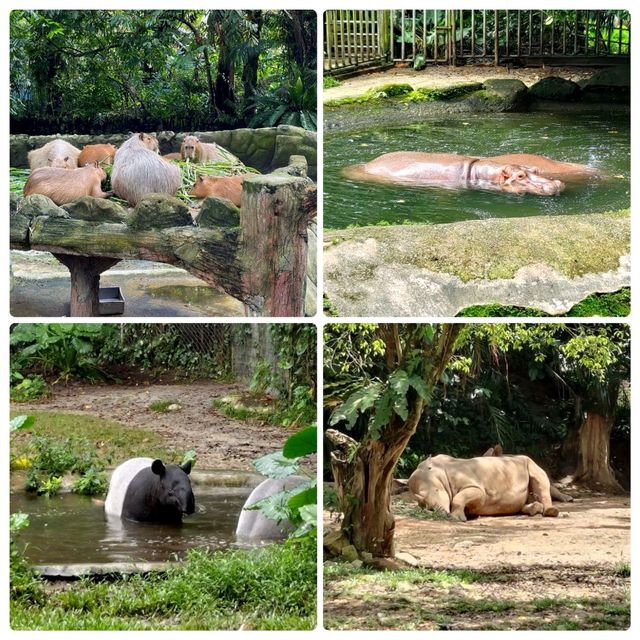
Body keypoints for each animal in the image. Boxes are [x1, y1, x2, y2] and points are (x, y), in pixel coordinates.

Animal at [408, 456, 556, 520]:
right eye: (423, 504)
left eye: (437, 491)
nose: (442, 514)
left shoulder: (478, 489)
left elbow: (459, 498)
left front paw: (458, 519)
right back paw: (534, 509)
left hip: (530, 462)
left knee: (541, 480)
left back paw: (551, 512)